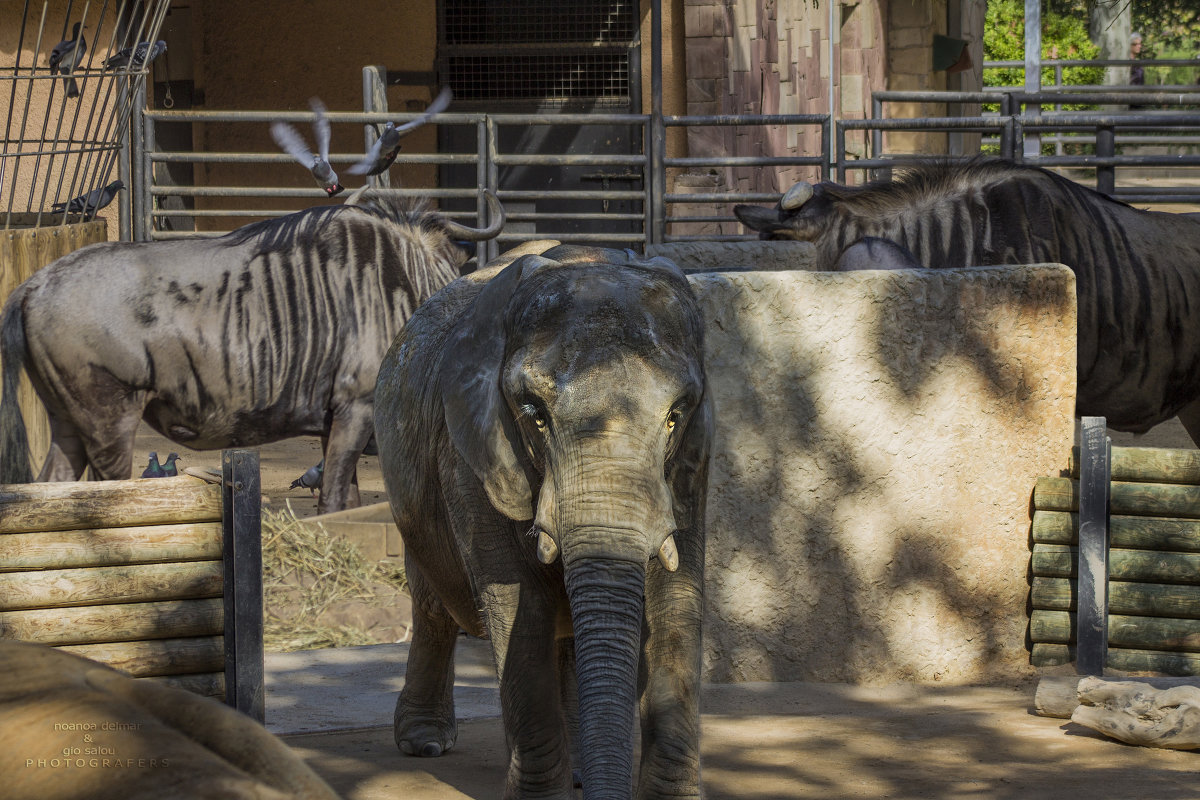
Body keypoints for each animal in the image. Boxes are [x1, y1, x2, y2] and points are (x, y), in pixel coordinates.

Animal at [374, 245, 710, 800]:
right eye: (534, 414)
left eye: (675, 416)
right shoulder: (472, 457)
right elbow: (516, 605)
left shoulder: (691, 467)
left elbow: (676, 602)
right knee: (434, 606)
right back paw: (425, 742)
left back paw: (577, 772)